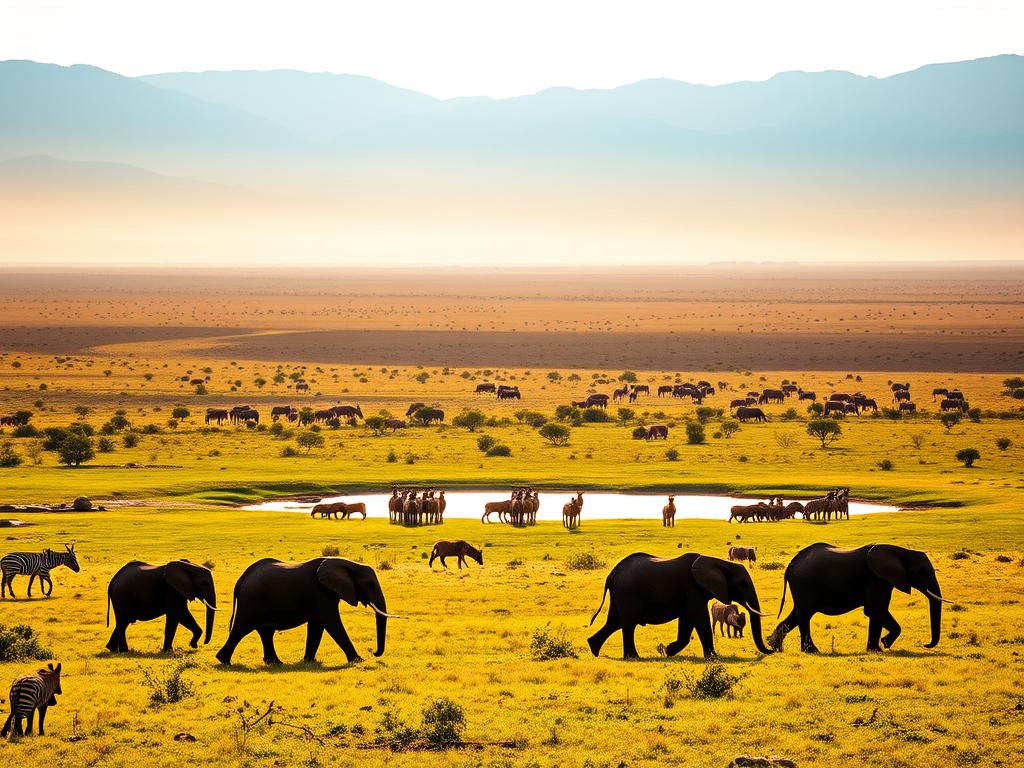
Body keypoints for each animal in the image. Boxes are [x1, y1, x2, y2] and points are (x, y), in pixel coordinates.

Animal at [216, 557, 396, 666]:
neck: (347, 563)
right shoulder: (321, 593)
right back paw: (224, 661)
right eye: (370, 584)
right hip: (251, 601)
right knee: (241, 629)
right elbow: (331, 623)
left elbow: (317, 626)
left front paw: (309, 661)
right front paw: (358, 660)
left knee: (265, 632)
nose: (374, 653)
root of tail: (241, 579)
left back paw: (275, 663)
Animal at [587, 552, 773, 659]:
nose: (772, 649)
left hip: (619, 595)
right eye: (743, 584)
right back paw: (633, 658)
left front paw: (667, 651)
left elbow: (687, 620)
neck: (719, 562)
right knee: (628, 624)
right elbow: (699, 619)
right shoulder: (693, 589)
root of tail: (612, 573)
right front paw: (713, 658)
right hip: (627, 594)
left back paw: (594, 649)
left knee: (614, 622)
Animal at [768, 543, 949, 653]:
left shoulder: (883, 580)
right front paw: (881, 647)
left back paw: (776, 647)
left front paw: (880, 647)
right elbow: (875, 610)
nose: (925, 645)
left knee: (797, 615)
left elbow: (876, 611)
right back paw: (812, 650)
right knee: (804, 616)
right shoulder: (876, 579)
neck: (901, 551)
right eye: (922, 572)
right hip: (805, 584)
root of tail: (791, 564)